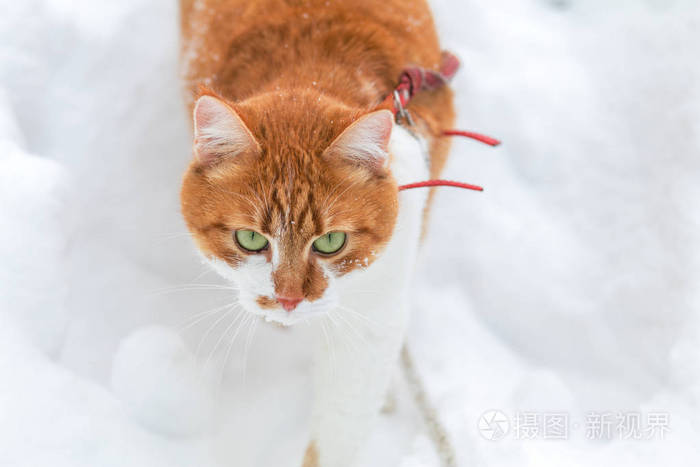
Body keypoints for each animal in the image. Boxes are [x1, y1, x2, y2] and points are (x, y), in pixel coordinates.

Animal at [179, 1, 454, 466]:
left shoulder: (375, 316)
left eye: (330, 242)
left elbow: (341, 427)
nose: (290, 299)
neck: (309, 74)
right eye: (250, 239)